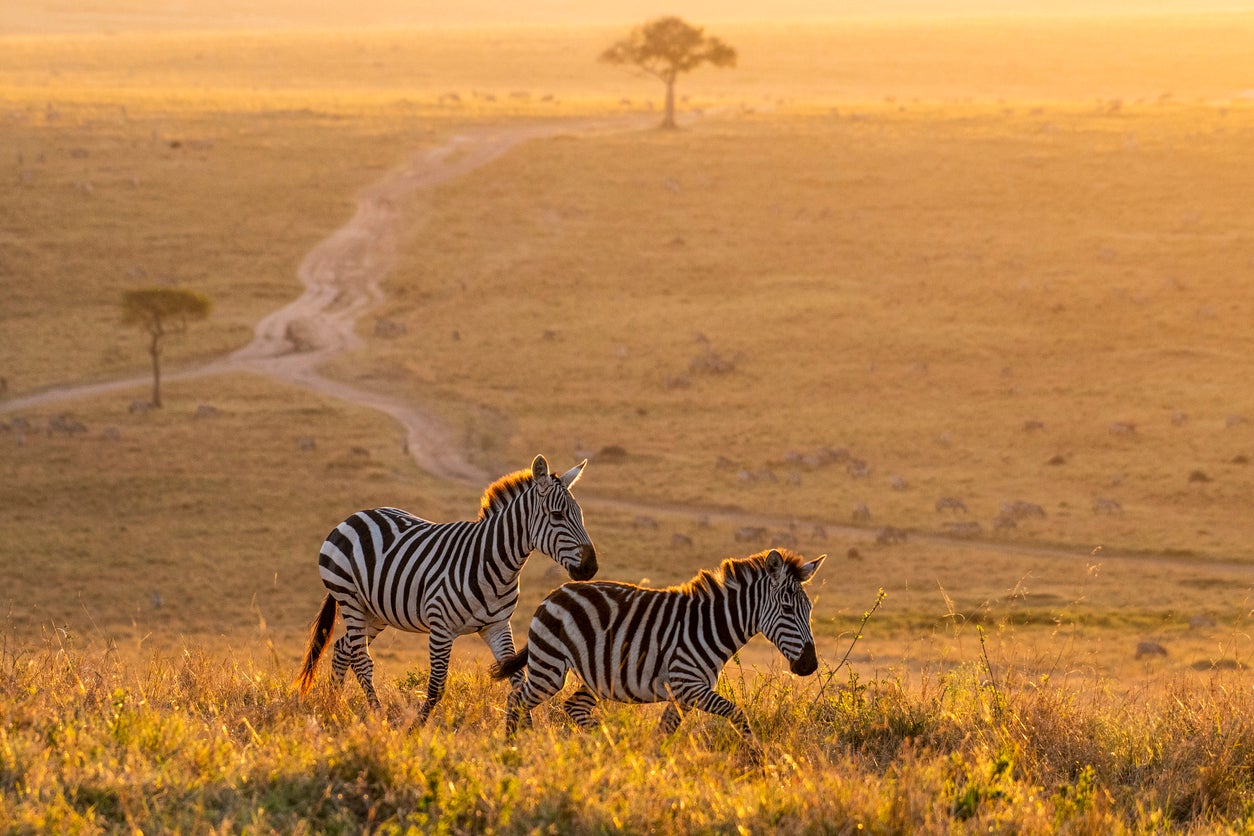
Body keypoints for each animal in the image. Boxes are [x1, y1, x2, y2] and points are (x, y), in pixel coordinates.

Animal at [300, 453, 599, 721]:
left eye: (581, 514)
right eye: (557, 515)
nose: (591, 567)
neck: (494, 562)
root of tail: (355, 516)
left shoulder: (497, 626)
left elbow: (516, 679)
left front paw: (524, 730)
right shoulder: (441, 627)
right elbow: (435, 687)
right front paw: (415, 729)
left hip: (375, 611)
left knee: (343, 649)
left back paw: (333, 705)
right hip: (350, 599)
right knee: (361, 660)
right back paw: (377, 715)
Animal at [494, 548, 827, 747]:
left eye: (810, 609)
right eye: (787, 609)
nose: (809, 665)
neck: (711, 625)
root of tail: (554, 593)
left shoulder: (683, 695)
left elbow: (665, 731)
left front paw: (654, 763)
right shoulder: (689, 686)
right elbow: (738, 714)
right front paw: (757, 761)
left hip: (596, 676)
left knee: (572, 706)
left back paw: (606, 743)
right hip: (550, 668)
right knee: (516, 699)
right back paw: (511, 747)